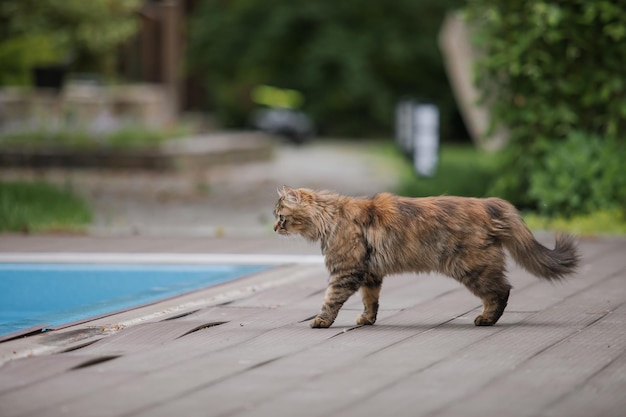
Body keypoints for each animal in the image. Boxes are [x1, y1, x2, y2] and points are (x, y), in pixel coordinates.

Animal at [272, 186, 580, 328]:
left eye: (280, 217)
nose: (274, 228)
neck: (331, 217)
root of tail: (489, 204)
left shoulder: (346, 271)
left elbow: (330, 299)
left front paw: (321, 321)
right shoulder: (370, 274)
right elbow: (370, 301)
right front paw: (367, 319)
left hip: (472, 267)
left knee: (501, 291)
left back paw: (486, 319)